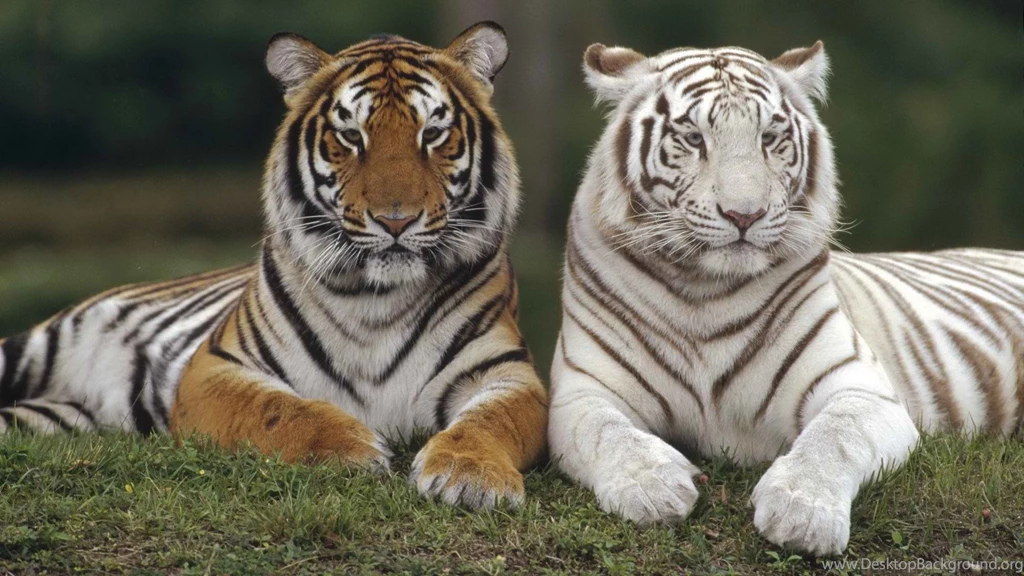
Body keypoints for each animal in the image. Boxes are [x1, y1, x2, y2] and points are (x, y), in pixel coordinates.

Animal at [0, 22, 548, 510]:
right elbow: (278, 409)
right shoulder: (215, 367)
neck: (378, 298)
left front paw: (471, 476)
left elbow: (490, 421)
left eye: (432, 133)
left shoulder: (506, 373)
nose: (396, 220)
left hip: (59, 418)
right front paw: (353, 447)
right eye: (351, 136)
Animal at [548, 39, 1023, 555]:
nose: (744, 214)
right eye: (693, 138)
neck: (704, 292)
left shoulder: (861, 387)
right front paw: (652, 487)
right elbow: (606, 432)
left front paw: (802, 512)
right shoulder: (582, 392)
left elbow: (835, 435)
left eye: (770, 138)